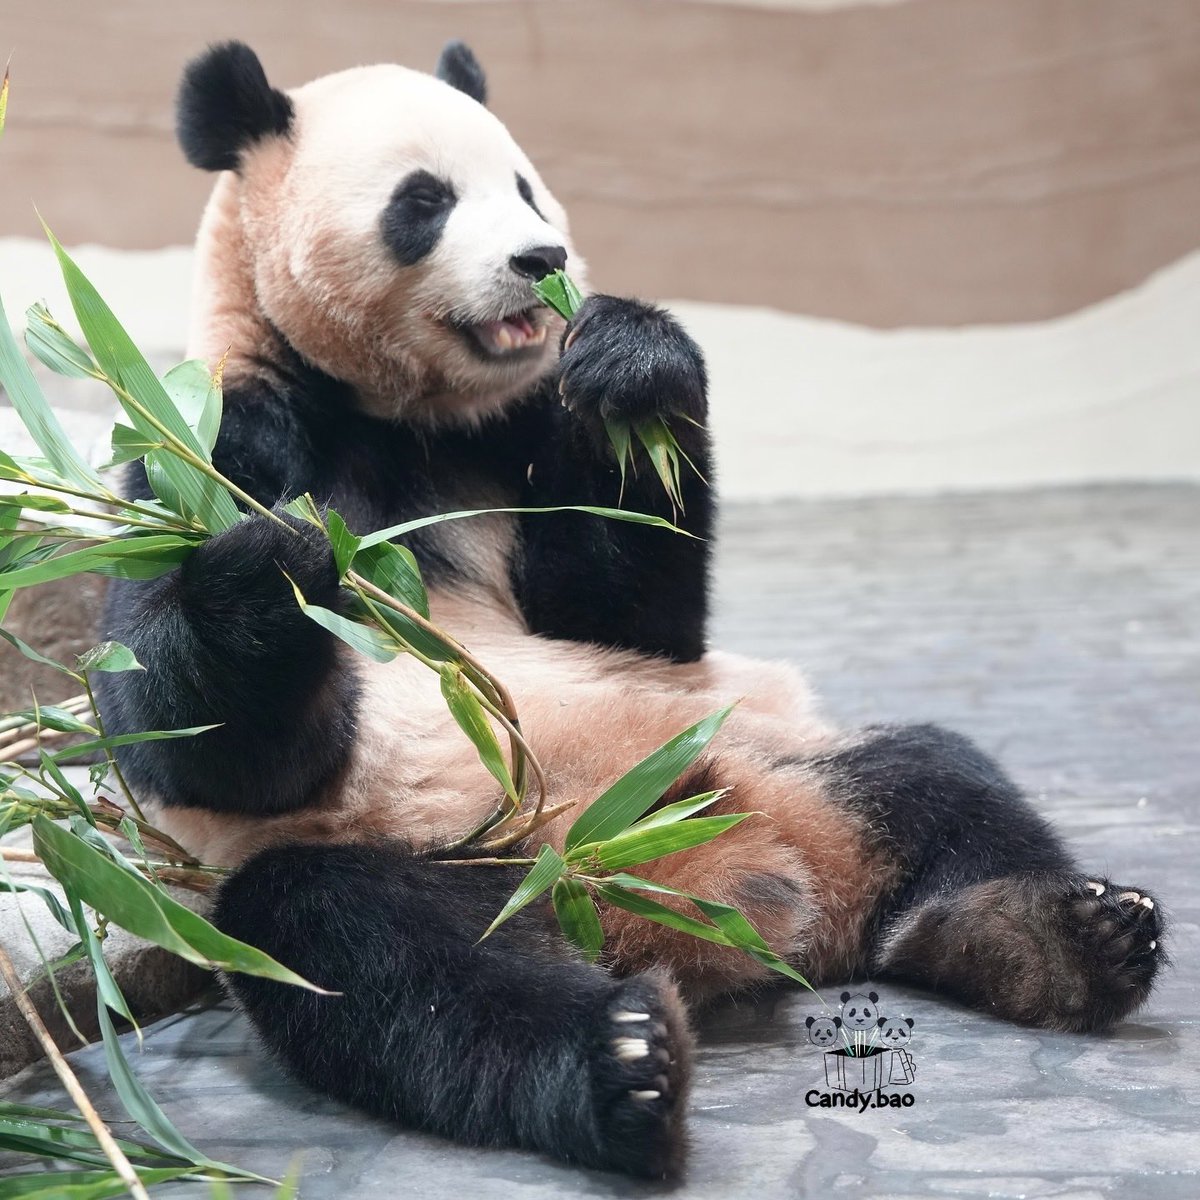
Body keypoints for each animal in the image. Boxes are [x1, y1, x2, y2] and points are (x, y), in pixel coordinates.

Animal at [94, 39, 1164, 1180]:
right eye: (424, 201)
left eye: (525, 185)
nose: (541, 258)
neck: (402, 416)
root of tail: (688, 896)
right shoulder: (210, 438)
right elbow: (203, 742)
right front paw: (274, 570)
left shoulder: (518, 438)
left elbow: (627, 612)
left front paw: (637, 364)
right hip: (440, 854)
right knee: (376, 955)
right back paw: (621, 1064)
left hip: (777, 758)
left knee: (938, 779)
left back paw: (1056, 941)